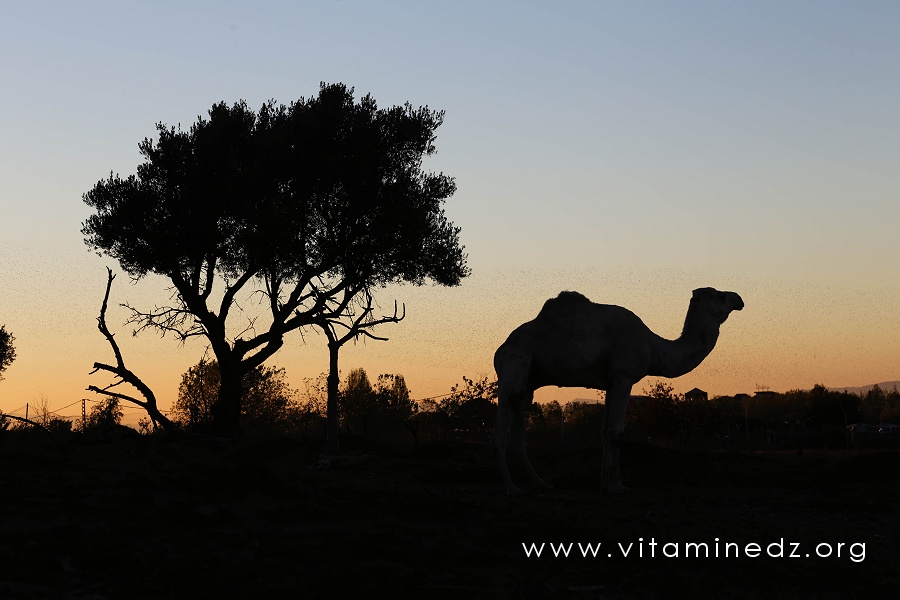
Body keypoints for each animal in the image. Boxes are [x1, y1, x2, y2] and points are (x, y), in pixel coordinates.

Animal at [491, 287, 743, 495]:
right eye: (720, 295)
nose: (739, 299)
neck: (654, 347)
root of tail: (499, 351)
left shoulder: (611, 383)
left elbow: (604, 433)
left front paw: (604, 483)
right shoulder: (623, 377)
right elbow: (616, 434)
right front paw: (618, 486)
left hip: (529, 383)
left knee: (518, 433)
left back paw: (542, 484)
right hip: (513, 367)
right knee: (501, 433)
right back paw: (512, 489)